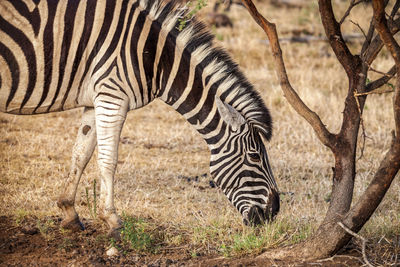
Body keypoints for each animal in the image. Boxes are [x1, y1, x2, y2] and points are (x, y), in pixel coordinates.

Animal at [0, 0, 280, 237]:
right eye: (255, 156)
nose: (274, 212)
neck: (156, 57)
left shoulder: (96, 98)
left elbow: (81, 153)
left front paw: (69, 212)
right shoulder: (112, 95)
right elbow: (108, 160)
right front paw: (112, 220)